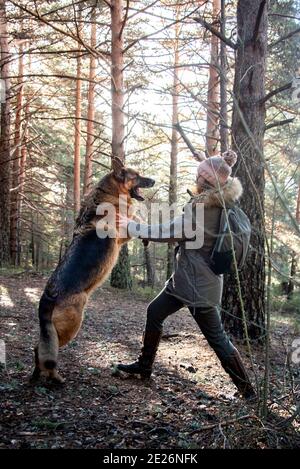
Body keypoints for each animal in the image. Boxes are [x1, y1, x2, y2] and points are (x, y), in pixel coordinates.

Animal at [31, 157, 155, 384]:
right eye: (136, 176)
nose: (154, 181)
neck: (111, 193)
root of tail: (48, 296)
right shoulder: (123, 233)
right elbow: (136, 220)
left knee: (38, 348)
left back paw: (37, 376)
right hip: (71, 326)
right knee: (47, 351)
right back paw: (55, 378)